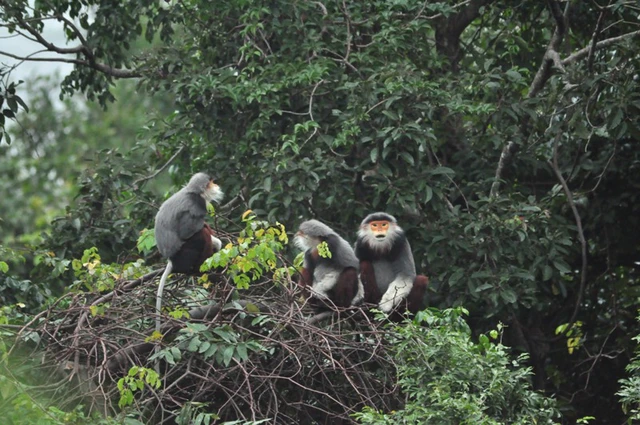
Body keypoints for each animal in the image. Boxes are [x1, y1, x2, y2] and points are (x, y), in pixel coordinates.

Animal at [154, 172, 224, 334]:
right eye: (211, 183)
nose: (216, 185)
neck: (191, 192)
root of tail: (171, 259)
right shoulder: (199, 204)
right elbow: (188, 231)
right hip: (184, 253)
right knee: (201, 235)